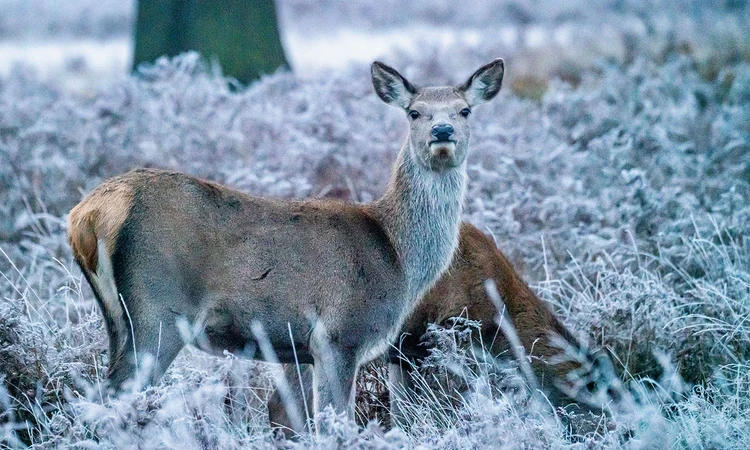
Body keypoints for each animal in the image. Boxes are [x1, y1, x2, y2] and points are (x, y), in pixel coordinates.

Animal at [67, 59, 506, 425]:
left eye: (465, 110)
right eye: (414, 112)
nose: (442, 132)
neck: (397, 255)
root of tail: (86, 215)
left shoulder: (300, 349)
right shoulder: (338, 334)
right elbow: (335, 422)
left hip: (117, 320)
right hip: (158, 309)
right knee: (109, 400)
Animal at [268, 222, 618, 436]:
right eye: (602, 403)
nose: (623, 430)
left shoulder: (406, 352)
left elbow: (404, 413)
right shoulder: (445, 336)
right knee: (282, 407)